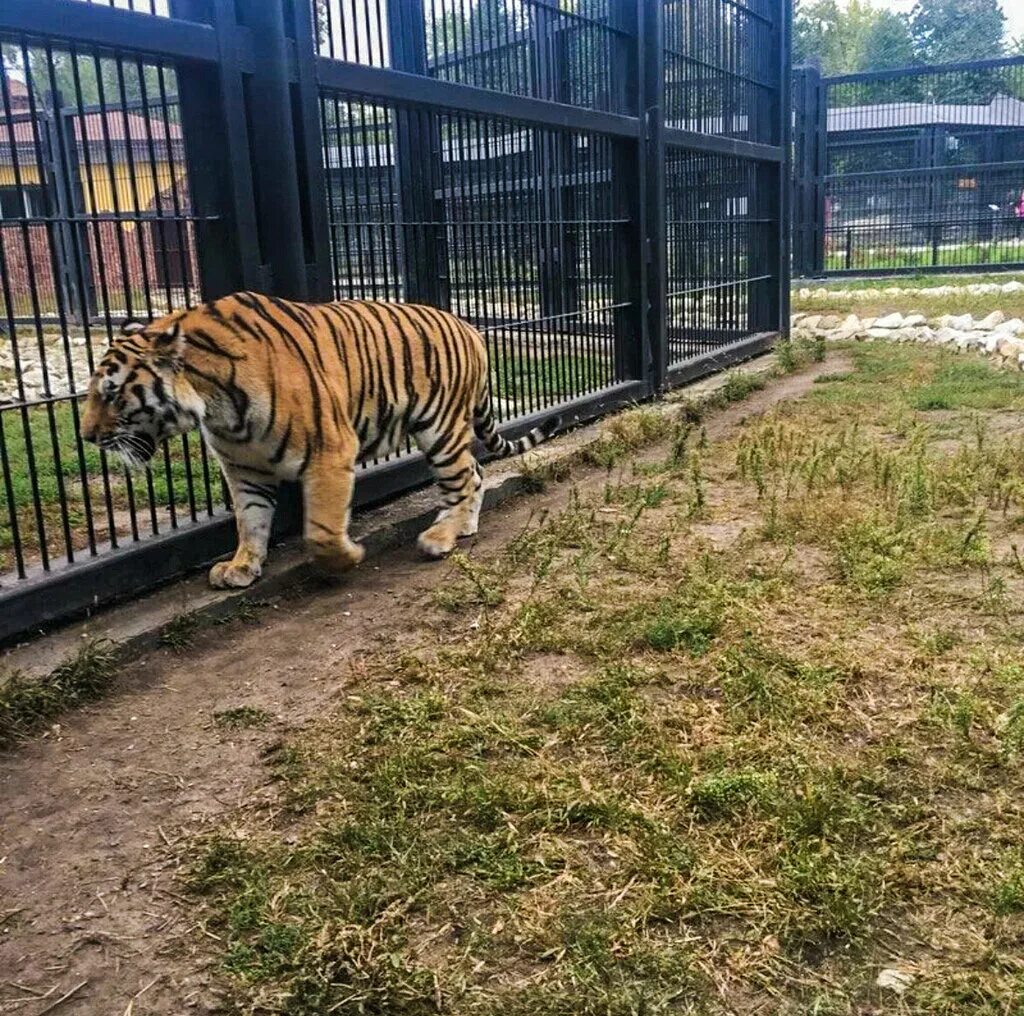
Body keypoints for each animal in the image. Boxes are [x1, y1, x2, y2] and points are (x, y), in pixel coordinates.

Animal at [81, 290, 561, 585]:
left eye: (112, 393)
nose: (86, 436)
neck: (214, 403)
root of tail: (471, 329)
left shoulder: (330, 452)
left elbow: (321, 531)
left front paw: (349, 558)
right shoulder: (244, 467)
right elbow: (249, 521)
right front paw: (241, 567)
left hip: (438, 428)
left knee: (466, 478)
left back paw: (442, 537)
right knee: (474, 473)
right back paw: (458, 525)